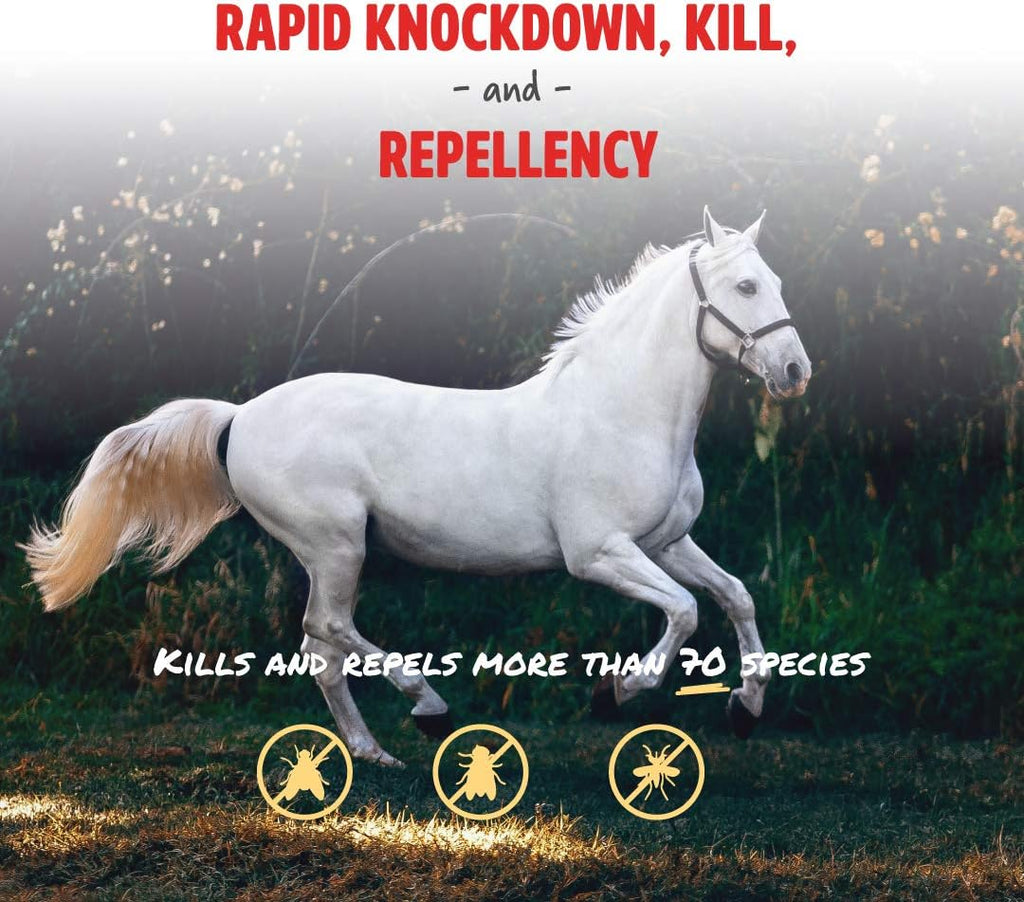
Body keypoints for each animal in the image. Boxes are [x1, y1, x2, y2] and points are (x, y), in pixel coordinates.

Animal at [24, 207, 811, 767]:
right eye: (746, 286)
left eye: (777, 282)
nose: (795, 372)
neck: (622, 410)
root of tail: (239, 416)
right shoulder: (600, 554)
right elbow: (684, 612)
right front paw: (617, 693)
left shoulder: (668, 542)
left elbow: (734, 596)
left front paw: (746, 708)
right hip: (337, 545)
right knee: (328, 630)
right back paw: (427, 708)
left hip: (332, 554)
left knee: (321, 649)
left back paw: (374, 753)